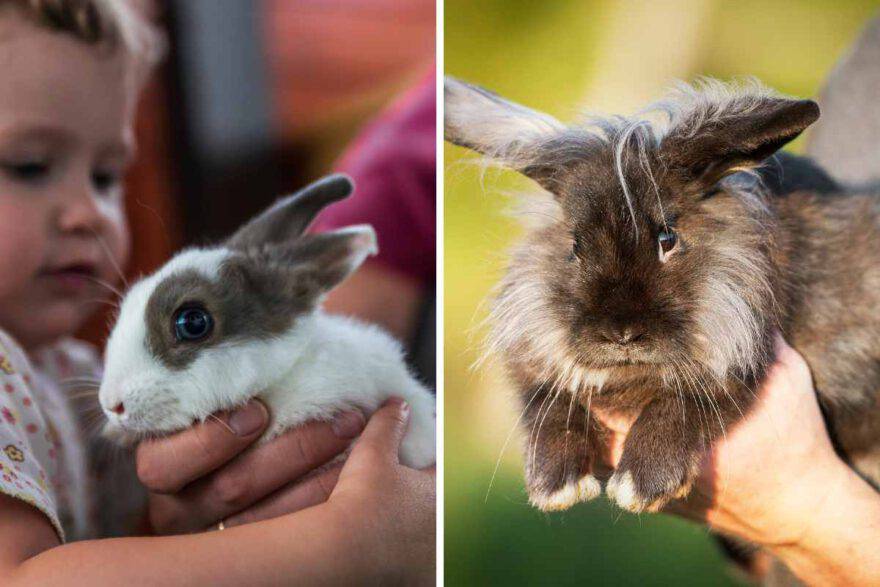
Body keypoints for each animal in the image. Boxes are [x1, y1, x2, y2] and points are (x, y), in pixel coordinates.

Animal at [444, 75, 880, 515]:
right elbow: (549, 406)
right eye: (575, 246)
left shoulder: (737, 359)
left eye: (667, 239)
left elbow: (684, 402)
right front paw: (556, 485)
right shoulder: (539, 372)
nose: (620, 334)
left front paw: (641, 484)